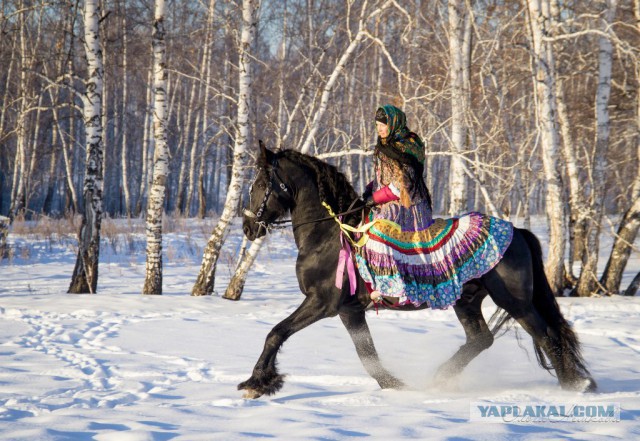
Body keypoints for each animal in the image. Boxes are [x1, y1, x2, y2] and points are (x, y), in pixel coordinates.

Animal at [239, 142, 596, 398]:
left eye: (260, 183)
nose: (247, 227)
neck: (329, 234)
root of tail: (517, 231)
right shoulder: (349, 310)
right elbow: (367, 355)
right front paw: (396, 387)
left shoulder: (322, 303)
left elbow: (276, 333)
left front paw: (257, 383)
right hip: (468, 300)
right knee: (482, 339)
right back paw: (440, 378)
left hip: (515, 302)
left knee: (548, 337)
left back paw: (575, 386)